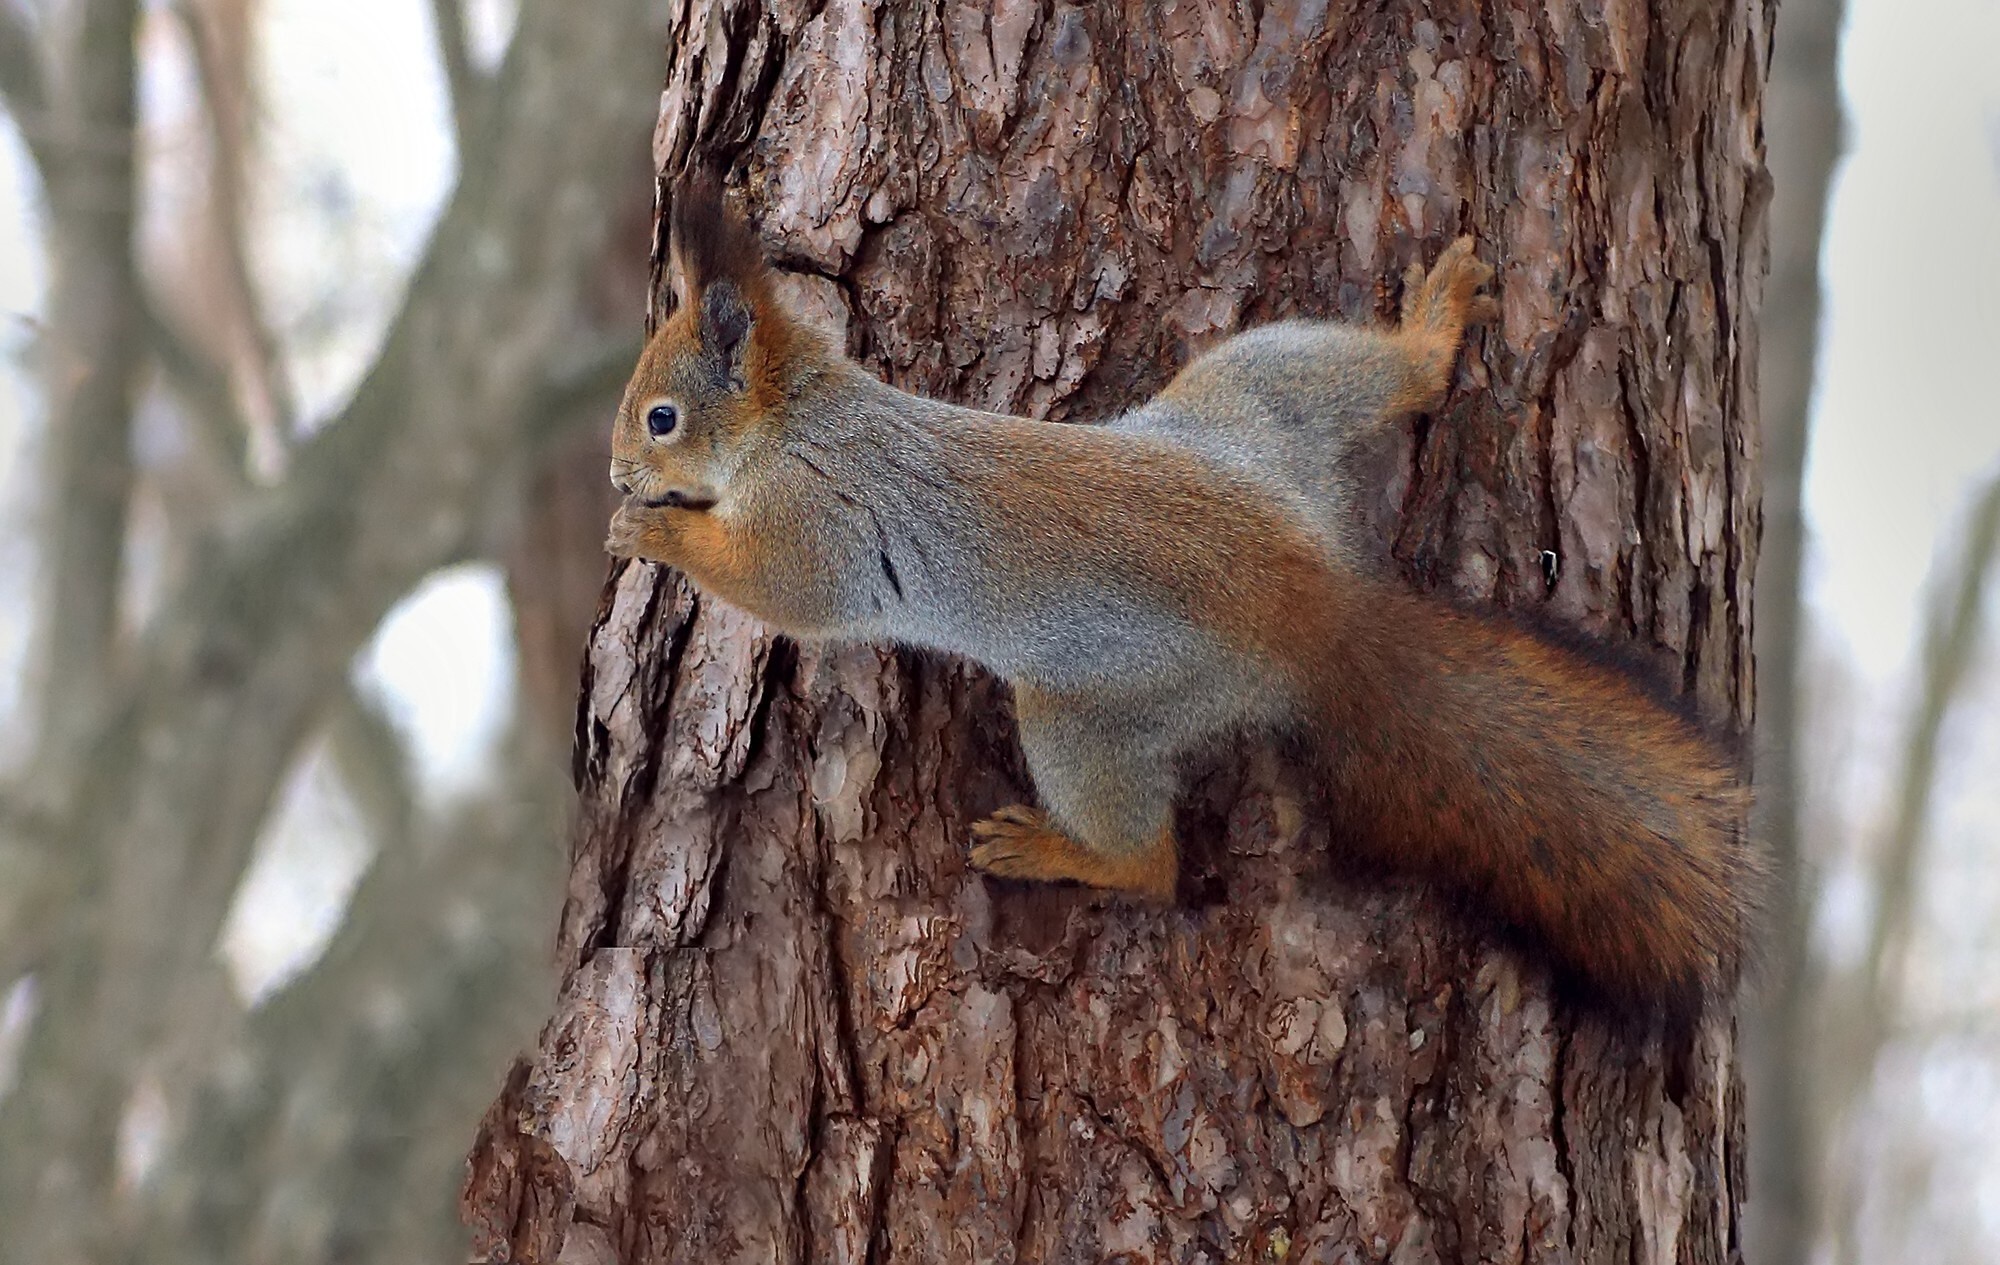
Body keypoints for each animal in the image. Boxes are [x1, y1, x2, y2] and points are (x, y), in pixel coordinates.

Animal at [604, 173, 1759, 1016]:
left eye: (661, 417)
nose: (616, 475)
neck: (799, 413)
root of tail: (1317, 605)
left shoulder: (819, 521)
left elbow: (786, 590)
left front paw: (658, 530)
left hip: (1097, 703)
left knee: (1151, 862)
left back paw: (1064, 850)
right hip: (1250, 400)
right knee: (1378, 377)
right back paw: (1428, 334)